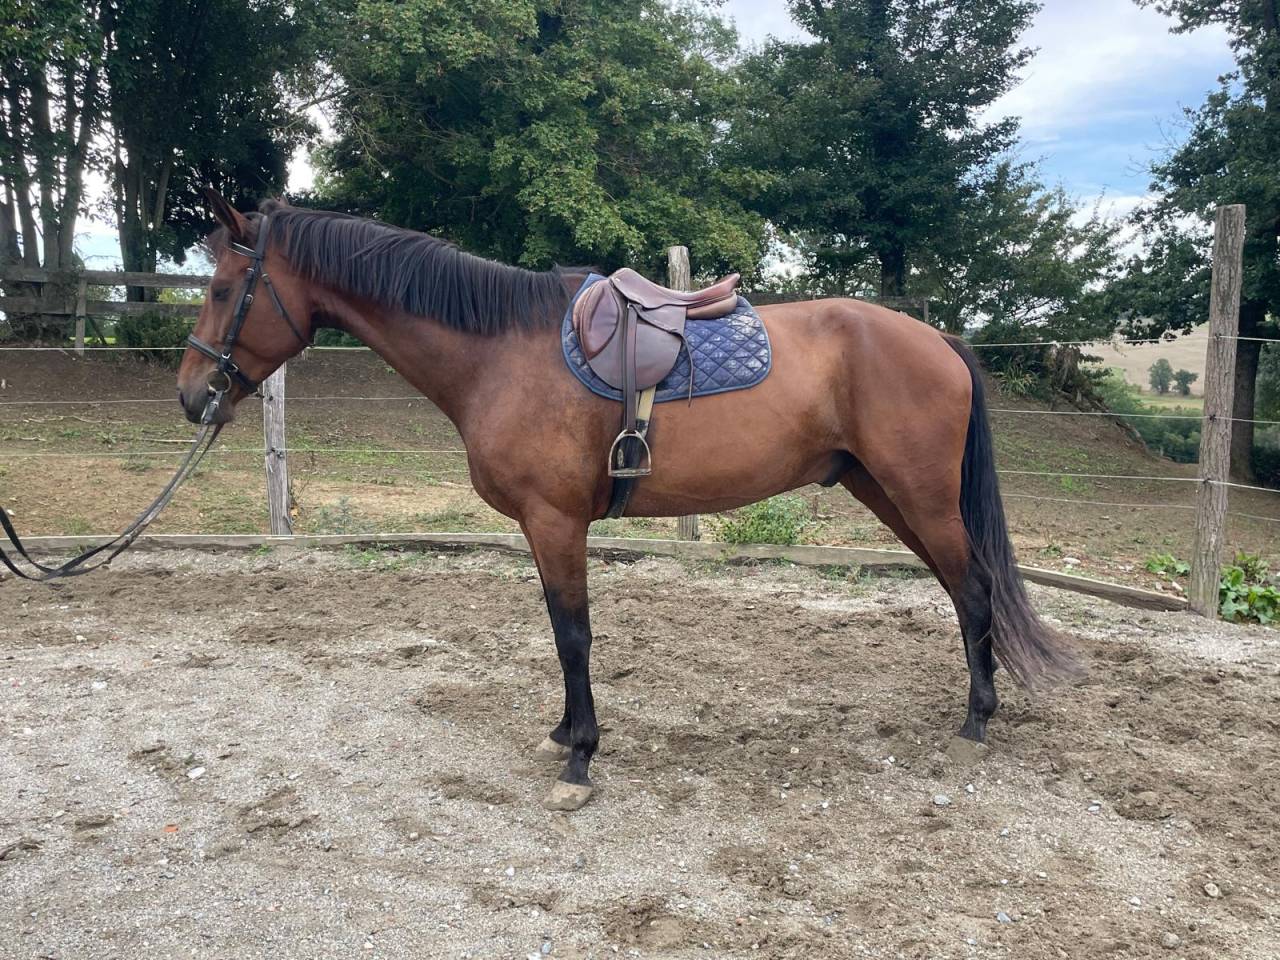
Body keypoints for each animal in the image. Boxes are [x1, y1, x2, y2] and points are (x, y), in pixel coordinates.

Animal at [178, 190, 1079, 812]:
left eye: (223, 290)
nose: (192, 397)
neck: (502, 352)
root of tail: (940, 341)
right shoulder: (544, 529)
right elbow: (559, 632)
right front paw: (564, 735)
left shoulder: (556, 522)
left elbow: (572, 636)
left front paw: (580, 757)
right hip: (887, 492)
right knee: (963, 591)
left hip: (918, 496)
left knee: (973, 589)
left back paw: (976, 721)